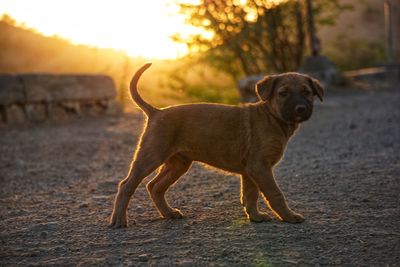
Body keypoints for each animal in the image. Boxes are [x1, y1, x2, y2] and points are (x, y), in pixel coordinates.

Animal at [110, 62, 324, 228]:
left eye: (307, 92)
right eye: (283, 93)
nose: (301, 109)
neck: (272, 118)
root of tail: (156, 112)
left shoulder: (250, 170)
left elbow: (250, 195)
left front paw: (255, 216)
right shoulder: (260, 167)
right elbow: (275, 194)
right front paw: (289, 216)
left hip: (178, 163)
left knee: (154, 187)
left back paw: (169, 213)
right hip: (151, 156)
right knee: (126, 185)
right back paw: (119, 220)